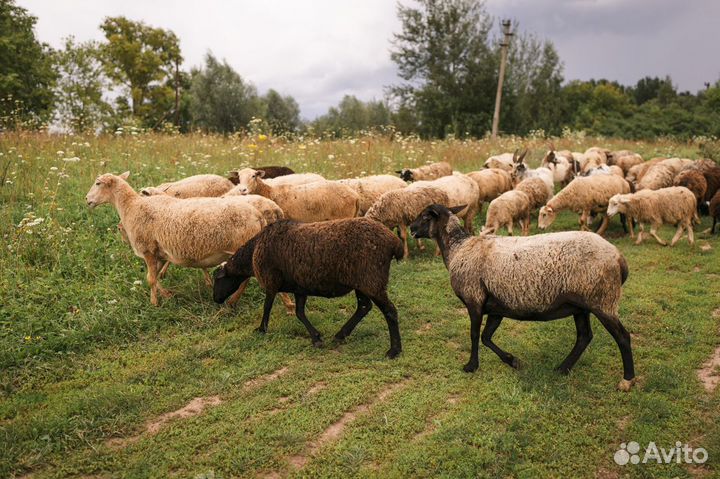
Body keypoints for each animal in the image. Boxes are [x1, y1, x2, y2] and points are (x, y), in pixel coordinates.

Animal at [84, 173, 264, 308]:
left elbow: (150, 279)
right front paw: (167, 295)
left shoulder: (148, 250)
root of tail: (258, 215)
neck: (131, 206)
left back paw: (232, 302)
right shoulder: (158, 253)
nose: (87, 199)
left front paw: (154, 303)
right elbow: (155, 277)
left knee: (245, 278)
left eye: (98, 183)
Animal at [214, 219, 404, 358]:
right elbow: (300, 313)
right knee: (364, 307)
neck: (254, 250)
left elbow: (267, 307)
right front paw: (316, 338)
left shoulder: (271, 282)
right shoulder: (300, 288)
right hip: (362, 283)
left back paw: (394, 351)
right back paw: (340, 335)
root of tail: (394, 242)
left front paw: (261, 329)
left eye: (218, 279)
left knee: (389, 311)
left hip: (372, 280)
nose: (216, 299)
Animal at [410, 204, 636, 392]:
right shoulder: (496, 306)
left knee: (622, 337)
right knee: (584, 336)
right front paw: (513, 361)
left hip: (603, 300)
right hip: (582, 305)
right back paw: (562, 368)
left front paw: (471, 366)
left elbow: (474, 335)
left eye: (425, 216)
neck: (458, 248)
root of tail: (619, 258)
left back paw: (627, 380)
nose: (411, 228)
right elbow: (486, 337)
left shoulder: (474, 298)